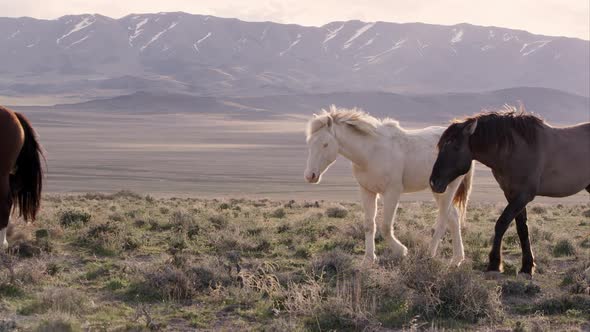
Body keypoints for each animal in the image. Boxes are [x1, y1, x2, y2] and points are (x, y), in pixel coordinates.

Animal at [306, 106, 476, 268]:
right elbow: (369, 225)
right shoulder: (367, 191)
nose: (310, 176)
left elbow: (386, 226)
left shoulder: (392, 193)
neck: (371, 153)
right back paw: (456, 259)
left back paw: (429, 254)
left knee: (443, 220)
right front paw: (368, 259)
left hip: (448, 189)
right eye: (309, 143)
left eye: (325, 144)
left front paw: (401, 251)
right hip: (438, 189)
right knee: (453, 217)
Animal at [430, 107, 590, 274]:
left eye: (454, 147)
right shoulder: (511, 194)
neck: (516, 150)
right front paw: (527, 266)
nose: (434, 182)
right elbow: (522, 229)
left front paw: (494, 263)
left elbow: (501, 224)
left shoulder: (523, 196)